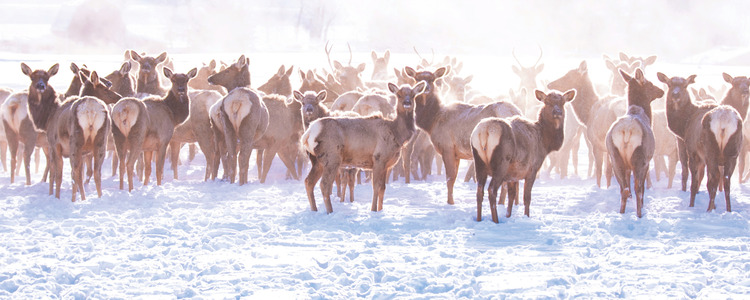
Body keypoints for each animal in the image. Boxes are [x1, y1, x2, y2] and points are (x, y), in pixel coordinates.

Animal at [302, 81, 428, 213]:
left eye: (413, 95)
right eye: (399, 95)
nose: (407, 103)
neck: (397, 134)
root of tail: (308, 133)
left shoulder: (387, 165)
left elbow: (383, 188)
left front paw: (380, 210)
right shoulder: (379, 158)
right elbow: (376, 187)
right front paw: (373, 210)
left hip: (316, 160)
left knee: (308, 182)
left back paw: (314, 210)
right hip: (331, 157)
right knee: (324, 184)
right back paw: (330, 211)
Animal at [406, 66, 524, 205]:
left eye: (433, 79)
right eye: (417, 79)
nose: (426, 88)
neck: (433, 122)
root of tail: (516, 112)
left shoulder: (447, 146)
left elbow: (450, 178)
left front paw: (450, 202)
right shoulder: (457, 153)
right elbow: (453, 178)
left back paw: (501, 203)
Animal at [472, 89, 580, 223]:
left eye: (562, 102)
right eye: (547, 102)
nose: (557, 112)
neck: (545, 143)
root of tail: (485, 131)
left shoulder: (513, 174)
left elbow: (512, 196)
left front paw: (508, 215)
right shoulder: (532, 169)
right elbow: (527, 197)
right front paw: (527, 216)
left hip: (478, 162)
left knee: (479, 191)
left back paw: (479, 219)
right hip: (501, 163)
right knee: (491, 190)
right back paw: (496, 220)